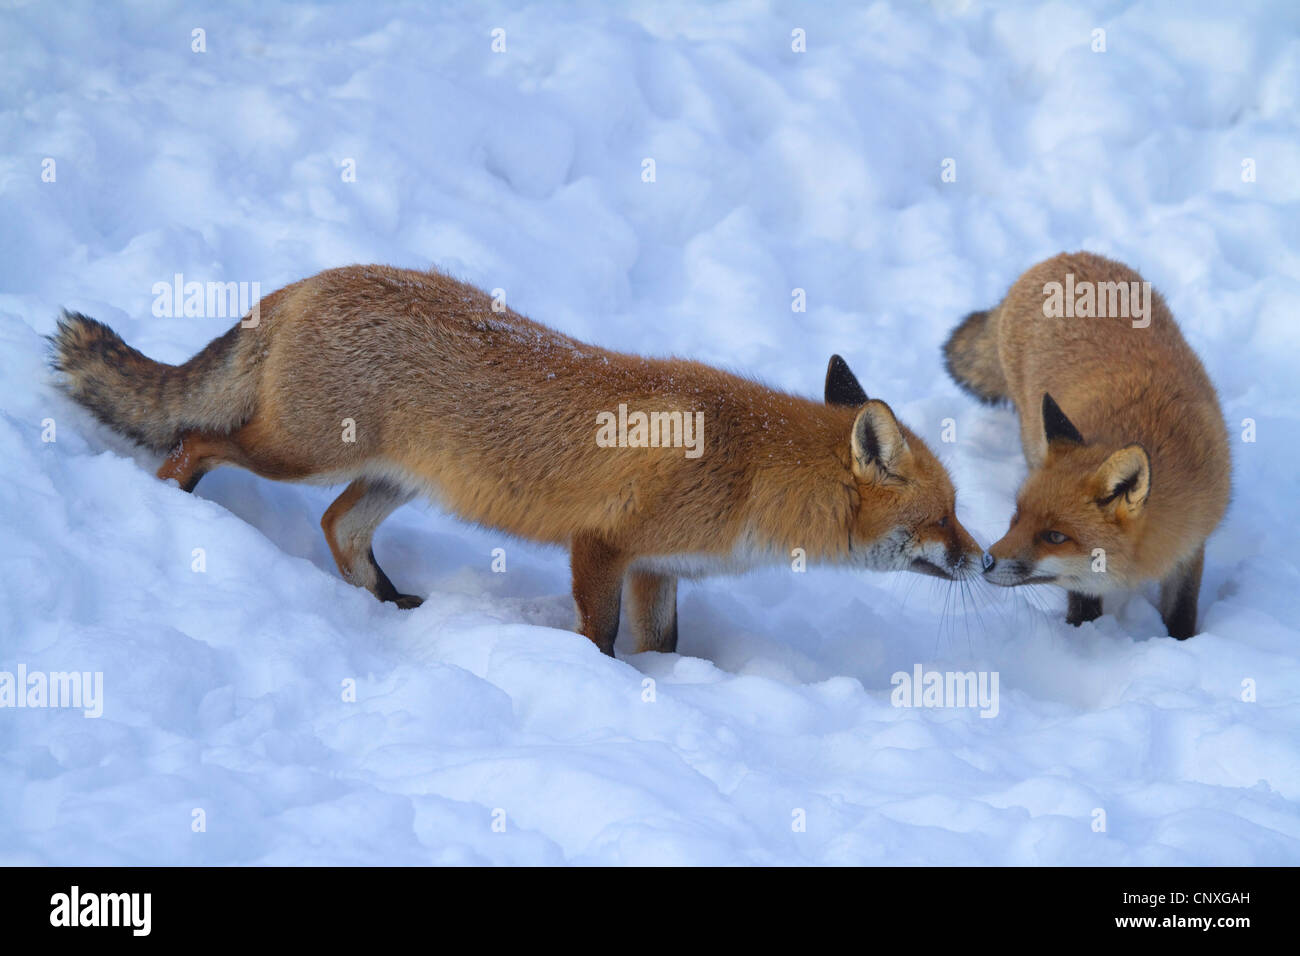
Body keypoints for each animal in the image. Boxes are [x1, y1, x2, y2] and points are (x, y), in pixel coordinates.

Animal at [55, 264, 977, 658]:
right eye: (944, 517)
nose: (986, 563)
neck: (749, 469)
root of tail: (307, 282)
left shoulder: (658, 568)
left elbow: (665, 647)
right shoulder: (601, 548)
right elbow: (600, 640)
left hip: (385, 480)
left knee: (338, 527)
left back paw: (392, 608)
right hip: (297, 452)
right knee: (195, 443)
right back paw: (178, 509)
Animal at [946, 251, 1227, 639]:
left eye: (1054, 536)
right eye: (1016, 516)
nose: (987, 560)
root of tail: (1060, 256)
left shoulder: (1191, 544)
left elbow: (1182, 612)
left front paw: (1182, 642)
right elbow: (1082, 596)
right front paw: (1083, 633)